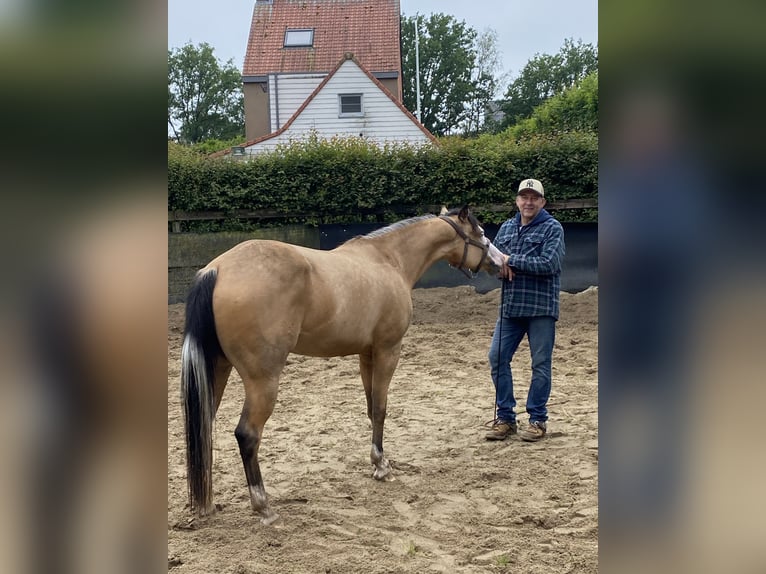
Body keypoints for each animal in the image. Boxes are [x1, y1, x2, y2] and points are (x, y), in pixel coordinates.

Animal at [182, 207, 508, 528]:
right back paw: (263, 506)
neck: (388, 260)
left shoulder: (367, 355)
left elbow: (371, 408)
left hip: (218, 370)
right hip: (262, 380)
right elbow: (381, 408)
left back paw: (206, 505)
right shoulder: (388, 350)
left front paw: (377, 462)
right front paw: (382, 467)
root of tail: (218, 269)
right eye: (481, 233)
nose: (502, 262)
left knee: (204, 429)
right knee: (247, 434)